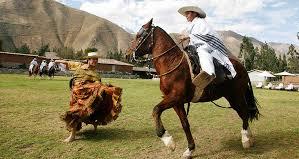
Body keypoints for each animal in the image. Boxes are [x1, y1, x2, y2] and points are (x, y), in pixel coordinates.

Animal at [126, 19, 260, 158]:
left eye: (139, 36)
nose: (127, 54)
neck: (172, 63)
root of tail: (242, 67)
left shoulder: (175, 97)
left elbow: (156, 110)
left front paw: (168, 141)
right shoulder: (176, 102)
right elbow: (185, 124)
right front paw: (190, 149)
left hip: (236, 96)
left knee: (244, 112)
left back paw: (245, 139)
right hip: (232, 97)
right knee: (243, 113)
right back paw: (249, 136)